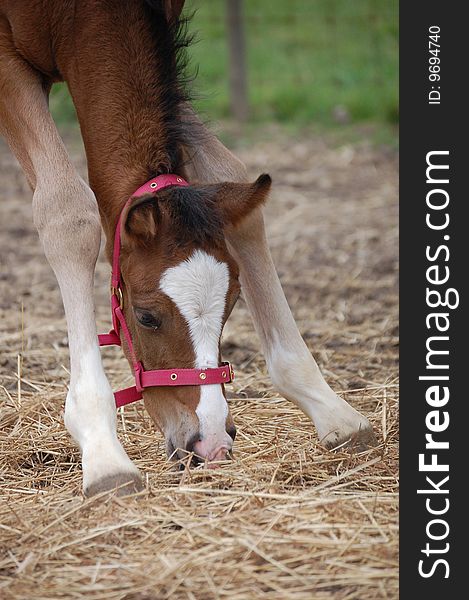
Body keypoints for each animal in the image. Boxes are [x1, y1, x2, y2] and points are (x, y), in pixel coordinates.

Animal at [0, 1, 372, 496]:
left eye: (232, 304)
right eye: (145, 317)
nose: (209, 442)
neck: (80, 17)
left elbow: (227, 171)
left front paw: (332, 410)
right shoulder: (7, 59)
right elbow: (68, 213)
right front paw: (103, 453)